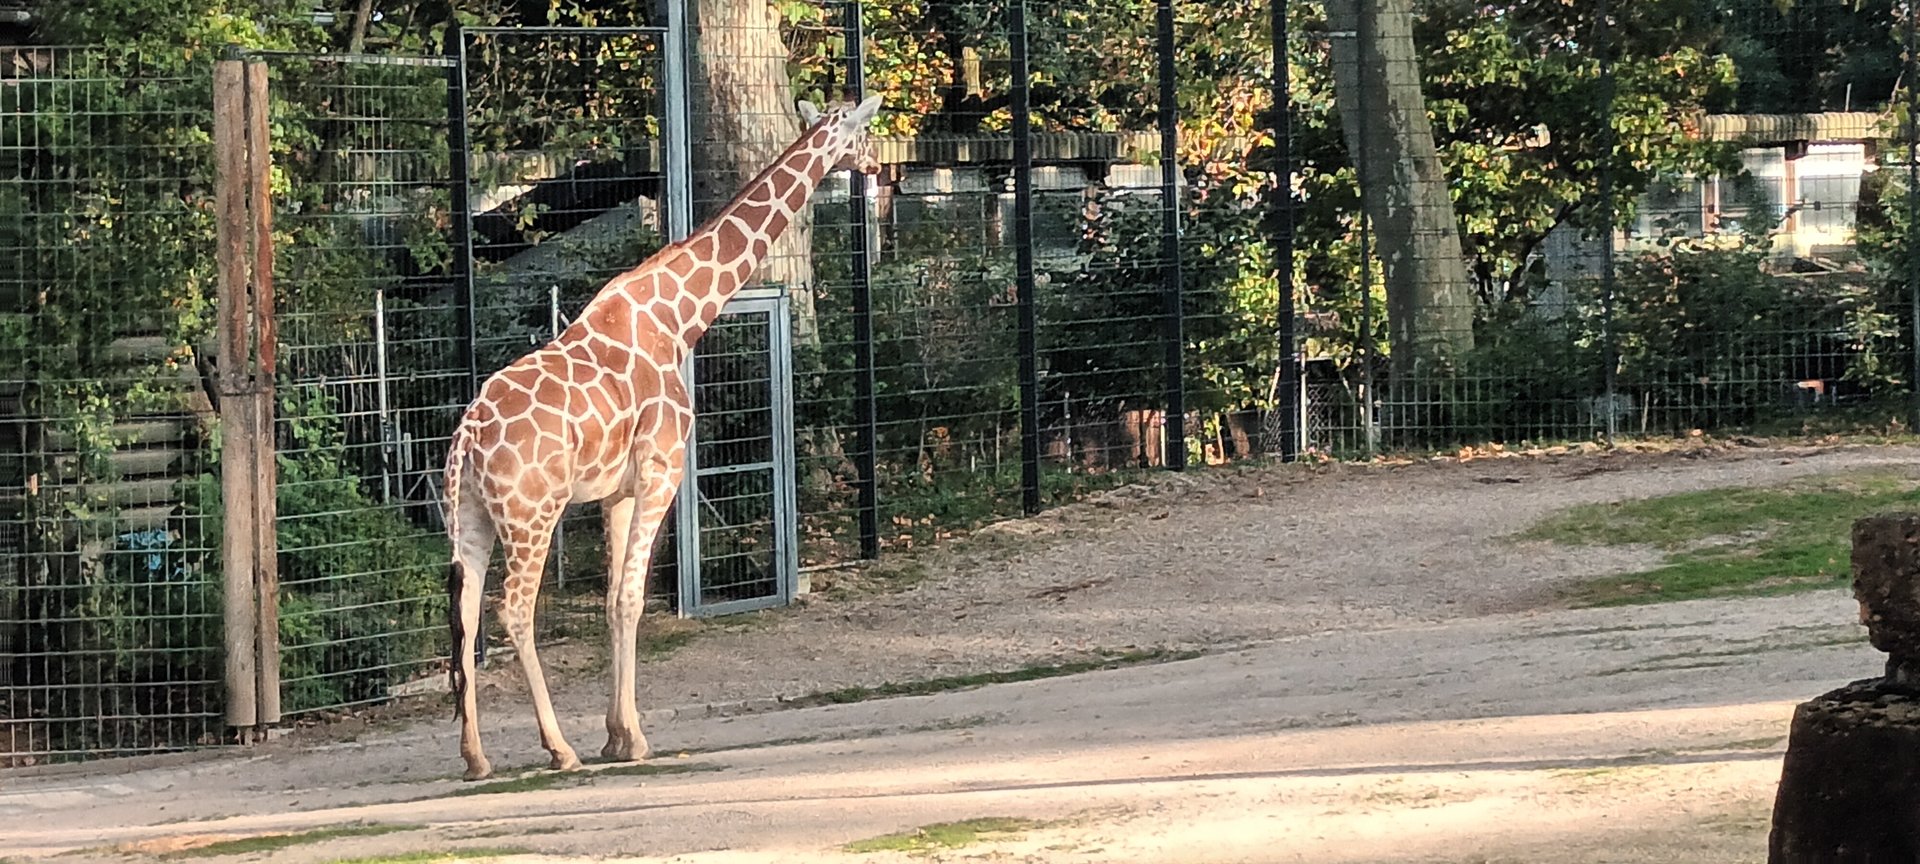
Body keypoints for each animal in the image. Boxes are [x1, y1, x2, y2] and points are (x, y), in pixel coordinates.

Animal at [442, 94, 884, 781]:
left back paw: (476, 756)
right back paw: (557, 748)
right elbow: (631, 598)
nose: (879, 166)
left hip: (470, 517)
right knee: (513, 611)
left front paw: (616, 735)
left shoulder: (616, 491)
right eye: (863, 130)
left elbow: (613, 603)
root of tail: (466, 438)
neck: (680, 318)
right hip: (531, 515)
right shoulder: (662, 470)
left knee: (465, 616)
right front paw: (632, 739)